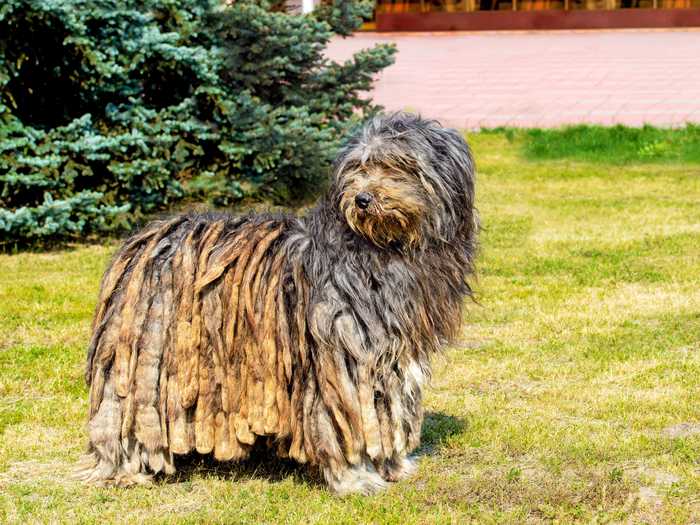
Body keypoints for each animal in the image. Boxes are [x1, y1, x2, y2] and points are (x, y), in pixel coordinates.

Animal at [79, 111, 478, 496]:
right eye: (357, 168)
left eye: (398, 165)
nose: (362, 199)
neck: (382, 249)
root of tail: (143, 240)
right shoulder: (339, 354)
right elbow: (343, 421)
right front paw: (355, 478)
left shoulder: (392, 354)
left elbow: (387, 410)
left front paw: (393, 465)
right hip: (143, 358)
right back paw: (125, 469)